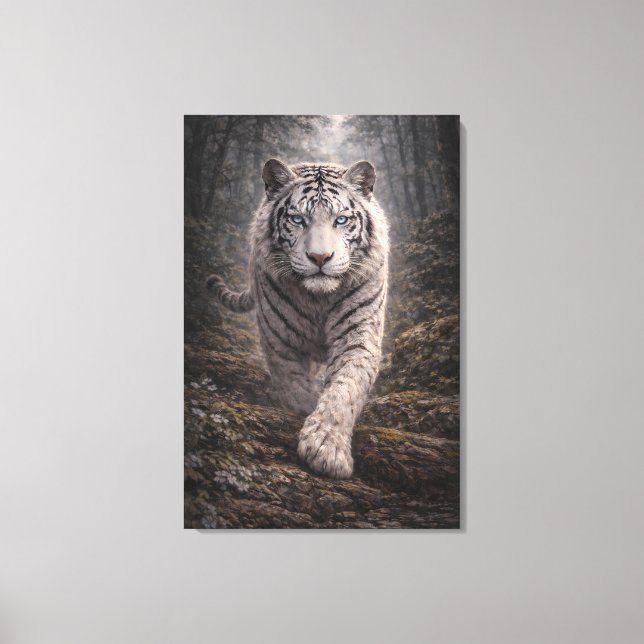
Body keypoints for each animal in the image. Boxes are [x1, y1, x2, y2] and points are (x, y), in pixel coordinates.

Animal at [207, 159, 389, 479]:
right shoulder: (280, 342)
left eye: (341, 220)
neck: (319, 299)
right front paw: (305, 415)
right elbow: (295, 389)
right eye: (297, 219)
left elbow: (345, 390)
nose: (320, 258)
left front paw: (327, 449)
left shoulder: (358, 335)